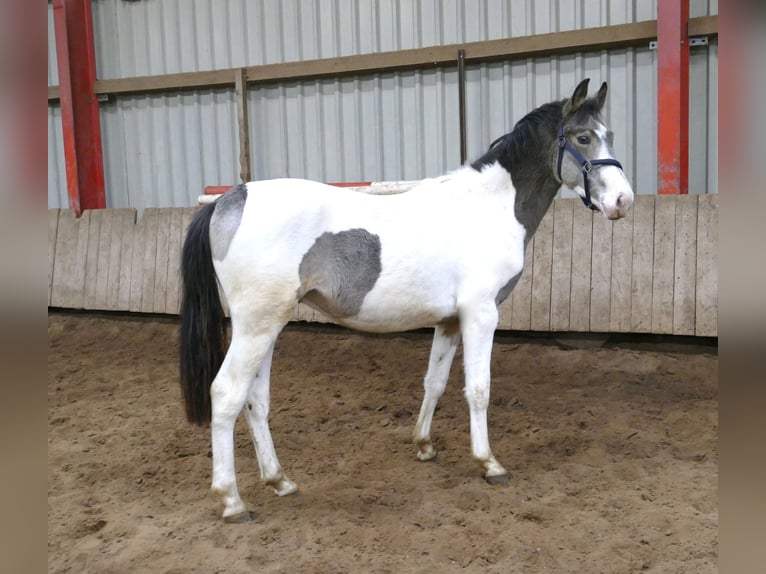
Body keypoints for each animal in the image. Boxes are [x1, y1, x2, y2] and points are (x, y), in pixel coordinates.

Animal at [179, 78, 634, 522]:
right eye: (583, 137)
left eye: (610, 134)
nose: (623, 201)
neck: (487, 207)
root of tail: (229, 200)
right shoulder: (481, 314)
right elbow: (479, 388)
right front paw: (489, 463)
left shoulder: (449, 321)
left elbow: (435, 382)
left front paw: (424, 445)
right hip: (257, 327)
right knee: (226, 393)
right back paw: (232, 501)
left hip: (266, 326)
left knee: (255, 399)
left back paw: (280, 481)